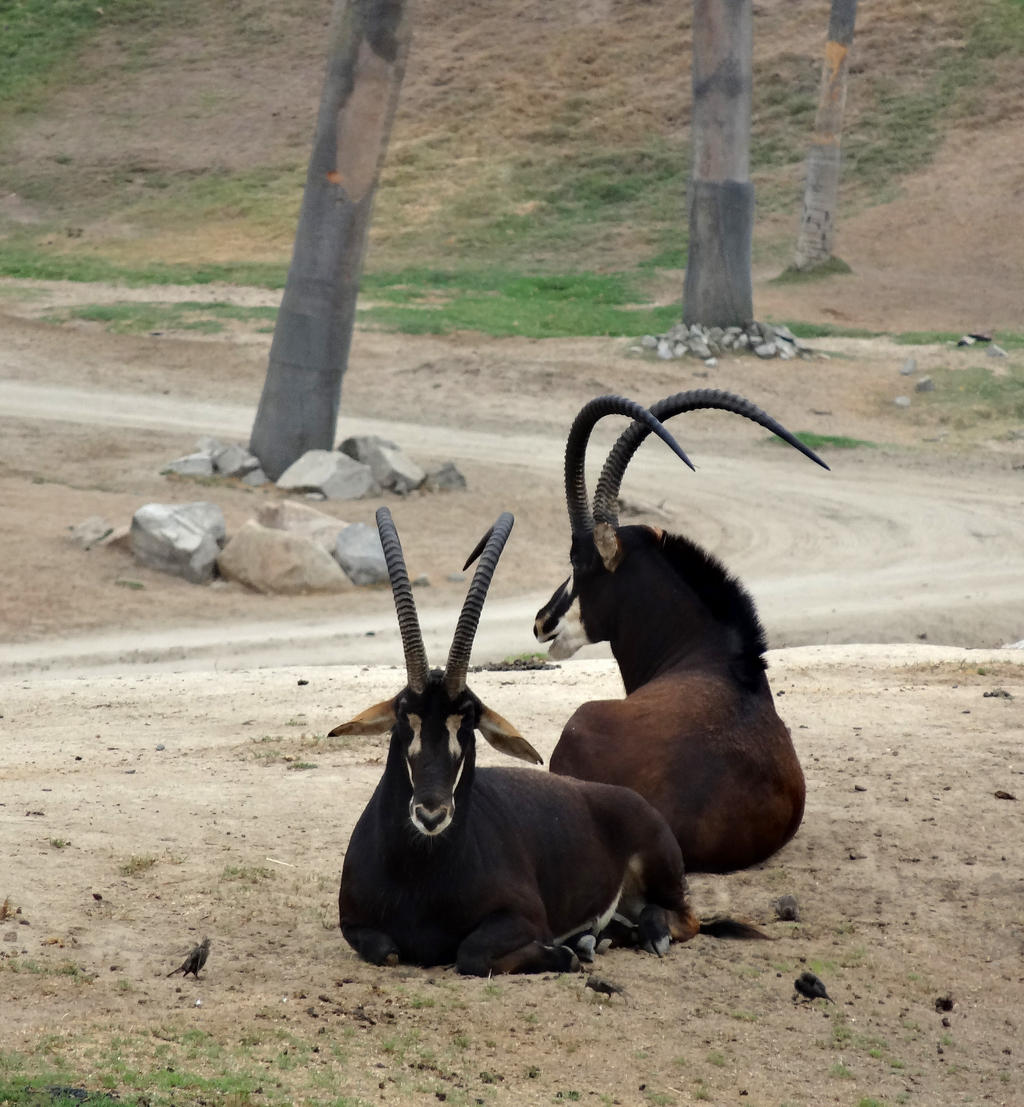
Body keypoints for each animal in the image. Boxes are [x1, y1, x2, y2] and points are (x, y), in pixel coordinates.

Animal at [332, 505, 712, 976]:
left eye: (467, 725)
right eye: (405, 720)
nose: (431, 814)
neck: (416, 873)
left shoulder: (524, 917)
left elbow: (471, 953)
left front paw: (563, 953)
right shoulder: (353, 925)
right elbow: (385, 949)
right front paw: (575, 948)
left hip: (663, 872)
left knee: (686, 918)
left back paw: (632, 937)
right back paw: (598, 939)